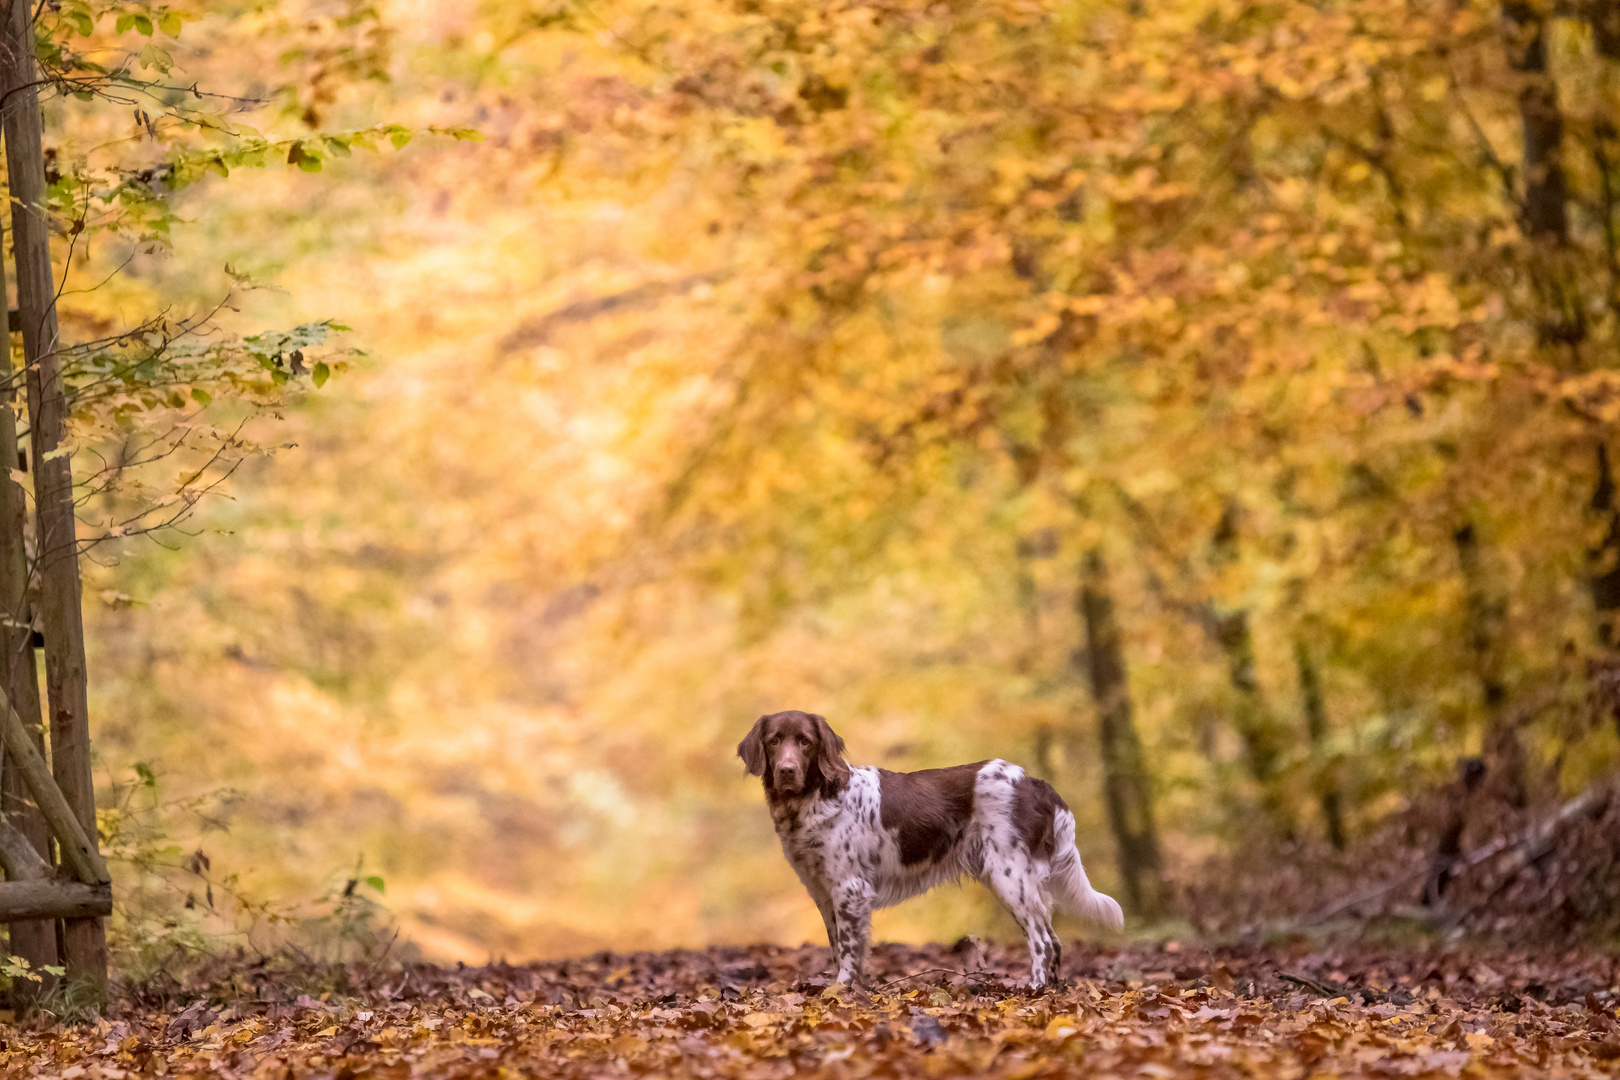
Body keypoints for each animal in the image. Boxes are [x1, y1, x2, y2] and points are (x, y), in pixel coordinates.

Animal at [741, 709, 1121, 990]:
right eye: (774, 741)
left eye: (805, 742)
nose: (787, 770)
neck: (816, 799)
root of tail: (1034, 783)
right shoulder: (823, 891)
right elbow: (839, 946)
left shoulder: (850, 889)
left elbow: (849, 950)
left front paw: (842, 990)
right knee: (1053, 941)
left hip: (1011, 877)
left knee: (1044, 941)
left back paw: (1035, 990)